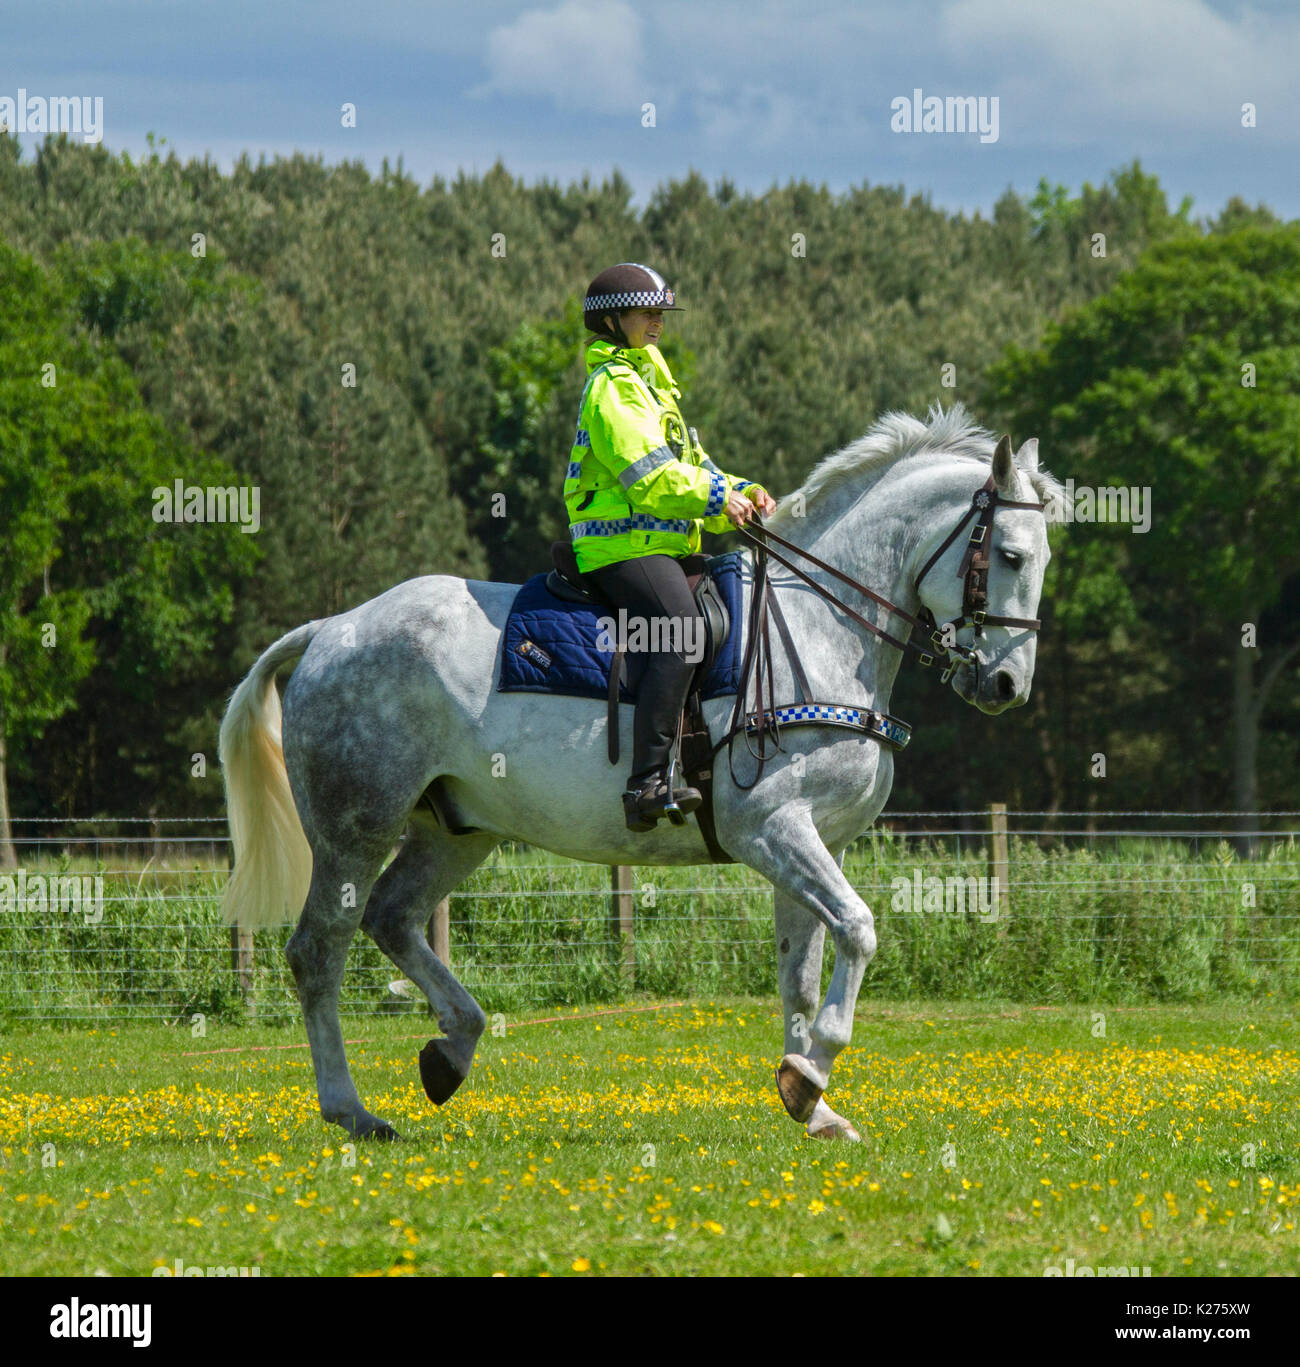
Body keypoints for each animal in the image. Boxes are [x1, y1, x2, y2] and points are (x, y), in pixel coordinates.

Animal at [221, 404, 1055, 1142]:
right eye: (1011, 556)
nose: (1007, 685)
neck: (818, 625)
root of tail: (332, 629)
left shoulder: (819, 840)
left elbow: (804, 971)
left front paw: (808, 1098)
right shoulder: (771, 829)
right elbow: (858, 928)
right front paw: (812, 1071)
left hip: (456, 831)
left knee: (391, 916)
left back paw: (453, 1046)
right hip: (354, 832)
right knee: (318, 952)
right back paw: (351, 1108)